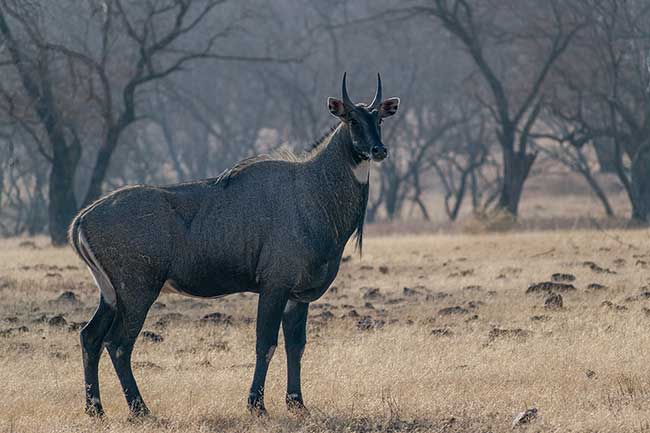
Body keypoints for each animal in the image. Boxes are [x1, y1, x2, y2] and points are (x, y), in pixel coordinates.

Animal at [68, 72, 398, 416]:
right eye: (352, 120)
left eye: (378, 119)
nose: (379, 149)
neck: (312, 190)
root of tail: (81, 220)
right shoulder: (274, 286)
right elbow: (266, 344)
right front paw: (256, 405)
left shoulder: (298, 296)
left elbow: (296, 346)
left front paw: (297, 404)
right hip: (137, 292)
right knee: (118, 343)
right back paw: (140, 410)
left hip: (111, 295)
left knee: (90, 337)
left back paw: (95, 409)